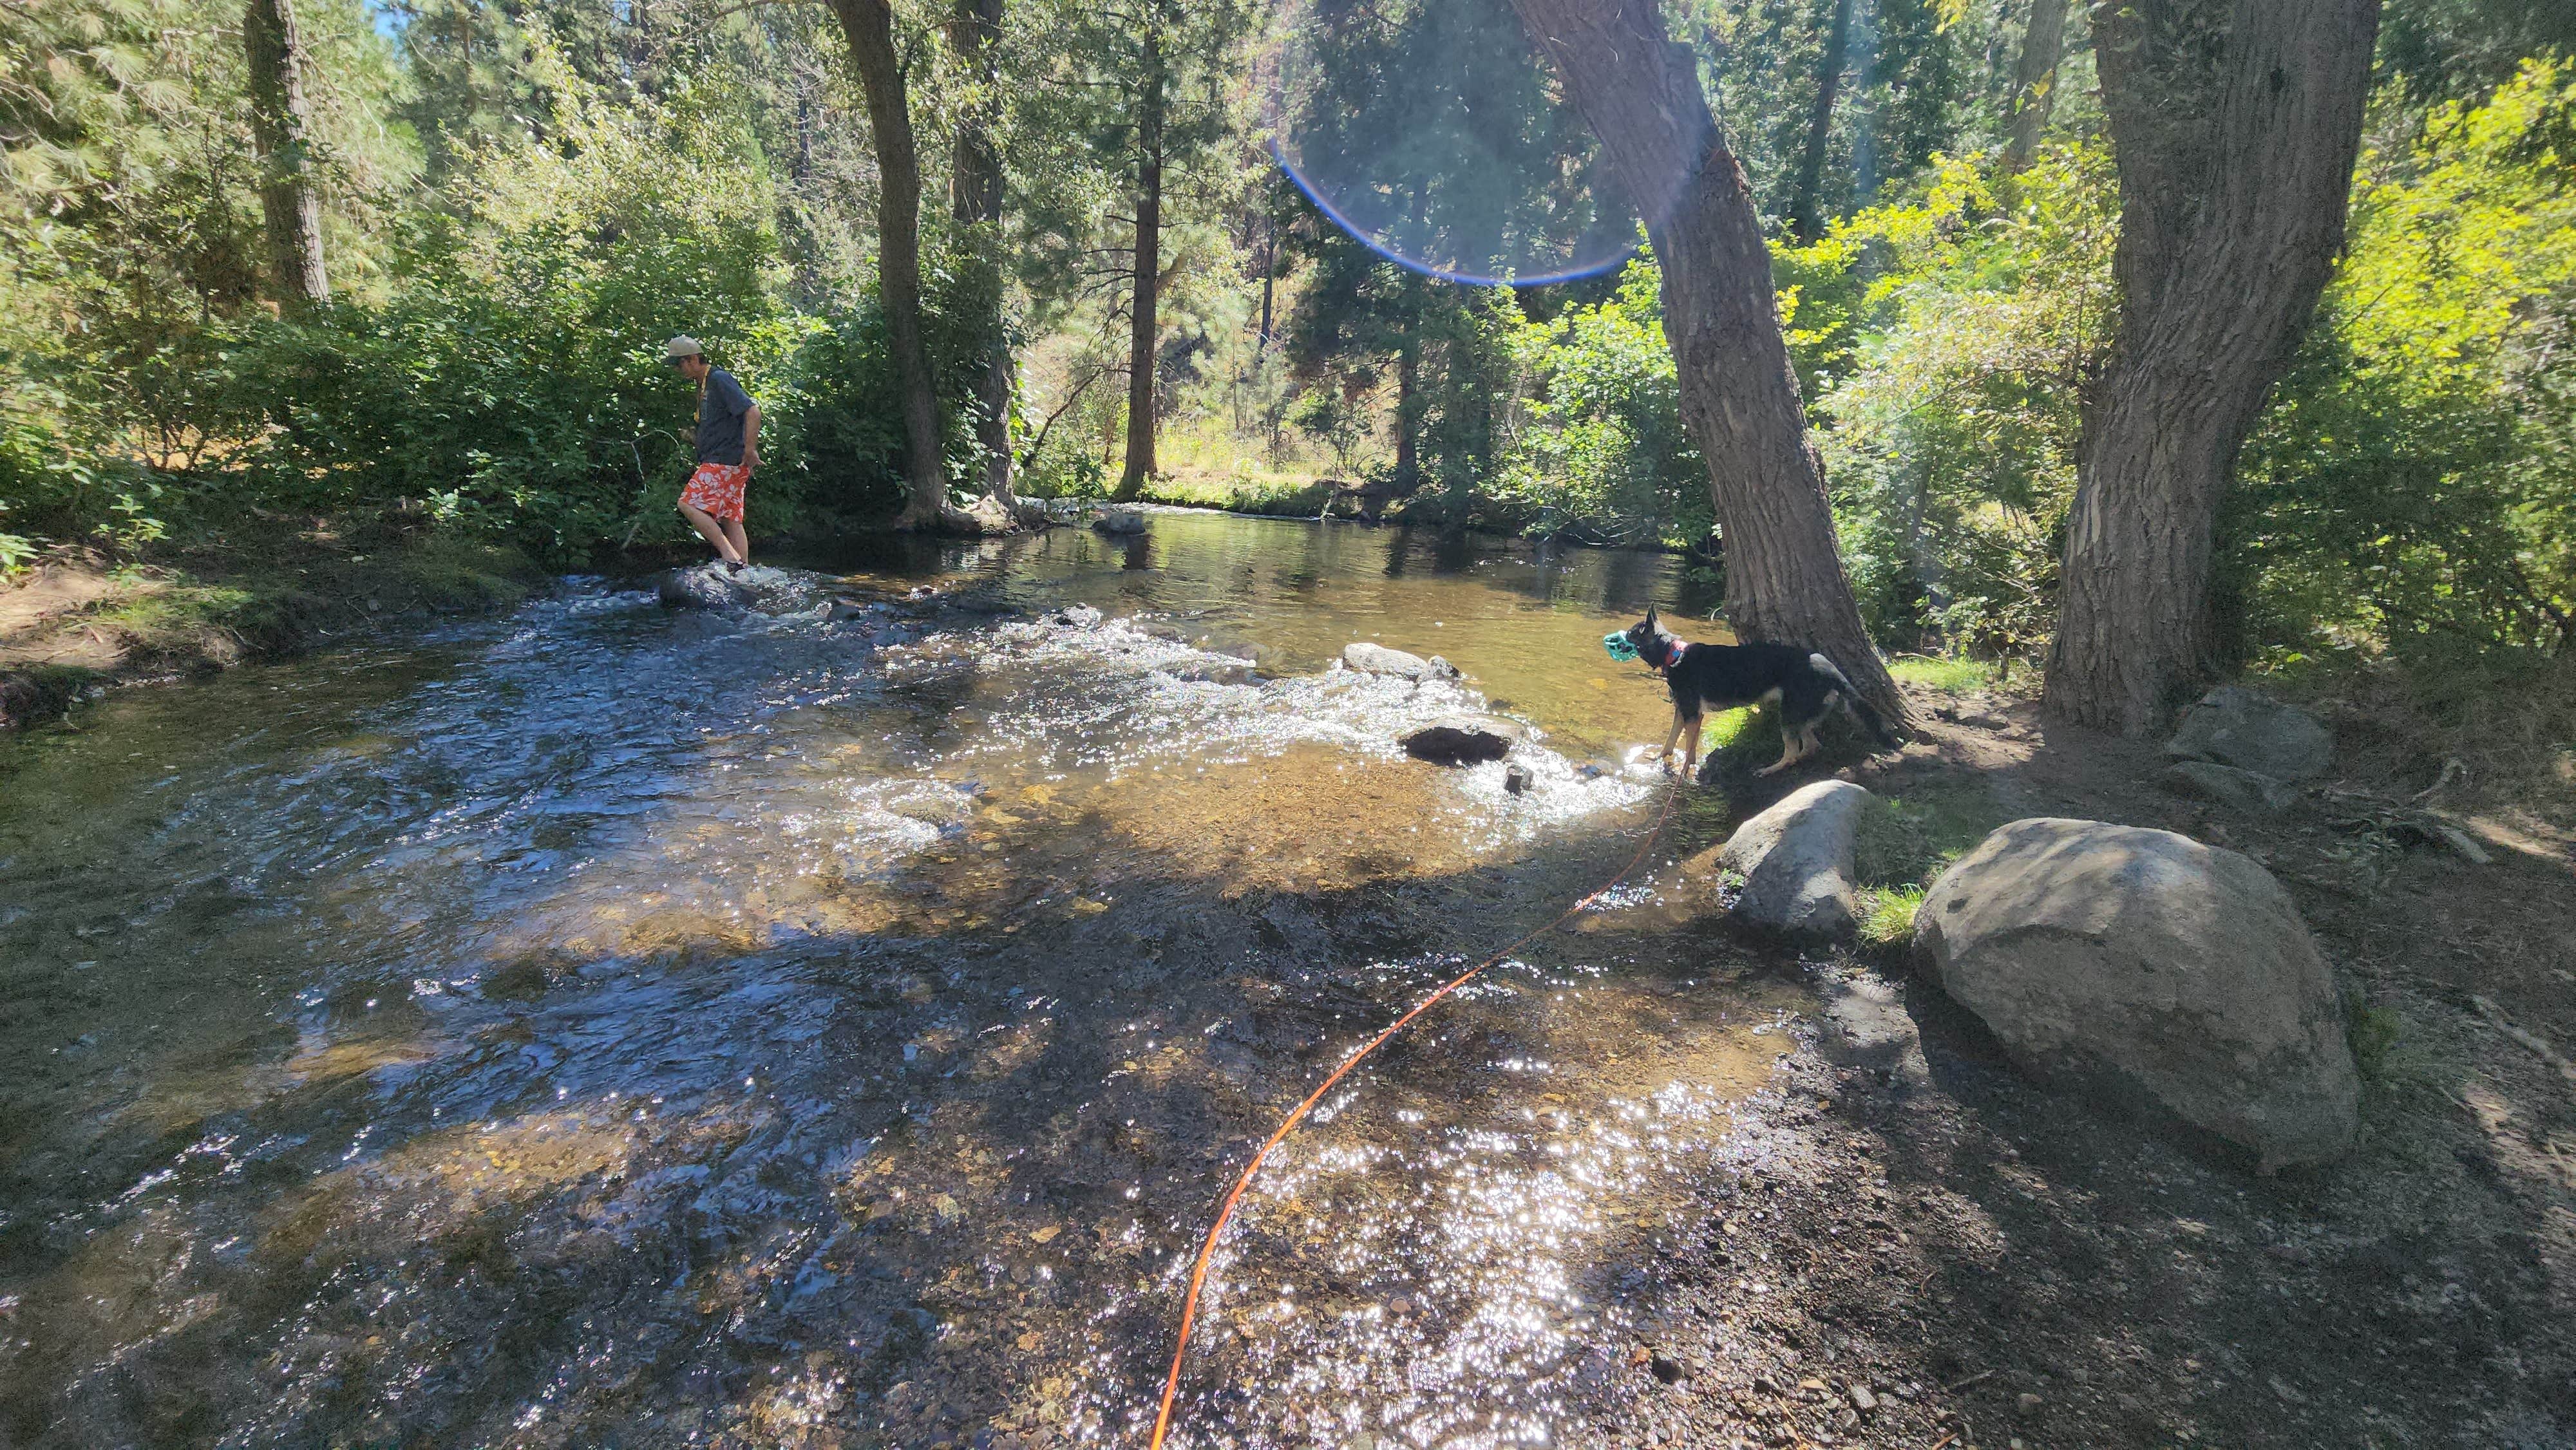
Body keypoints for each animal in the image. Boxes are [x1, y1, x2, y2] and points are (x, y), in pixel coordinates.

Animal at [1597, 605, 1906, 778]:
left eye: (1633, 633)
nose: (1612, 638)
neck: (1675, 654)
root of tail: (1831, 669)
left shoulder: (1693, 715)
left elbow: (1689, 749)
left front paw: (1684, 772)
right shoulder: (1682, 712)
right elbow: (1670, 741)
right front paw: (1659, 758)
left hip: (1788, 715)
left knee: (1793, 751)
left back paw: (1769, 770)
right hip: (1800, 716)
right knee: (1811, 746)